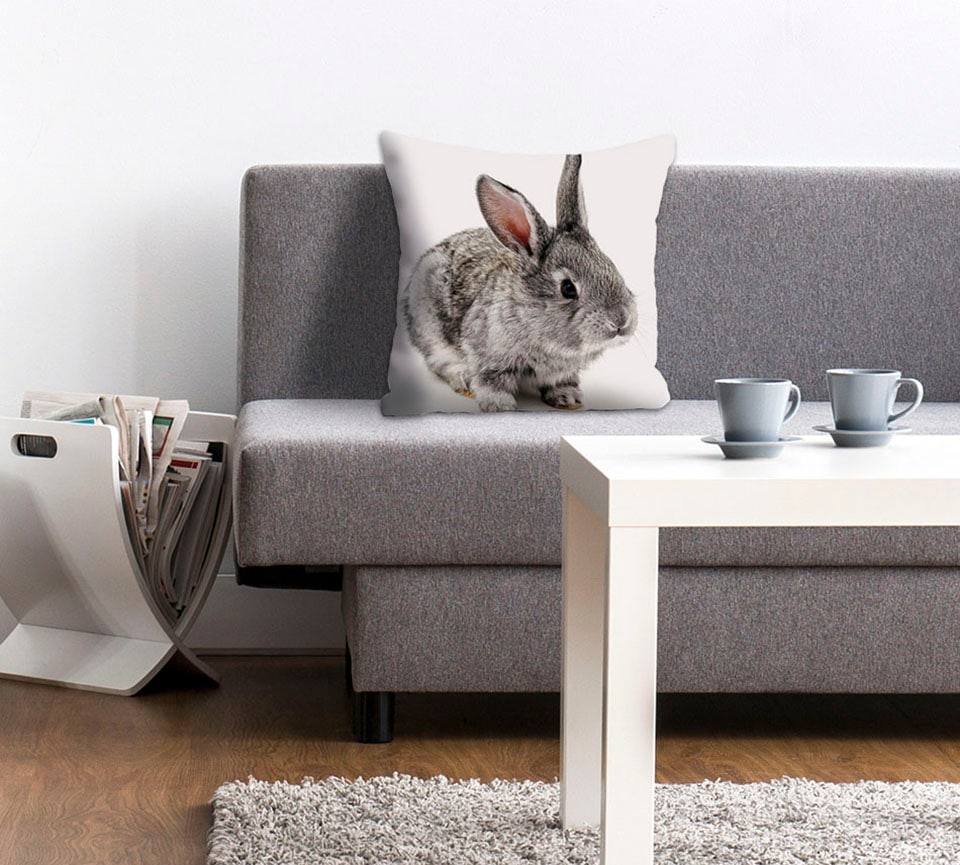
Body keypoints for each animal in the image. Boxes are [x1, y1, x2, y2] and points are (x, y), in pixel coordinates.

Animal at [400, 154, 637, 412]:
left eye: (612, 267)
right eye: (568, 288)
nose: (621, 321)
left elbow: (562, 381)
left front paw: (567, 398)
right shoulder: (488, 355)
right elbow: (491, 382)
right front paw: (499, 406)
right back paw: (462, 378)